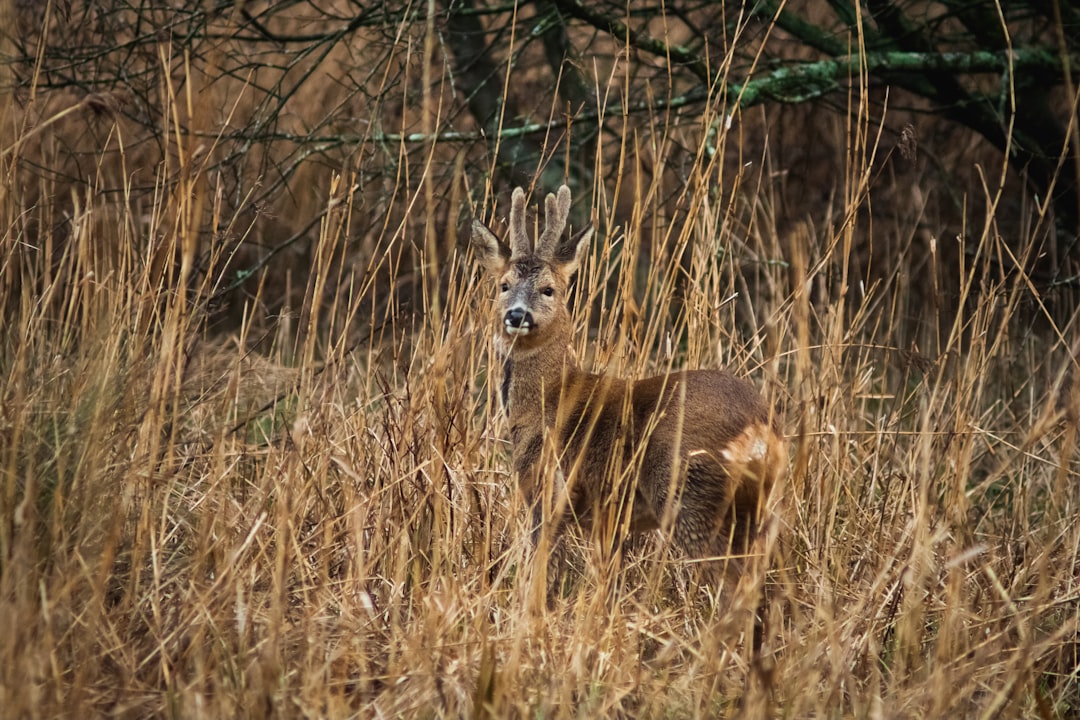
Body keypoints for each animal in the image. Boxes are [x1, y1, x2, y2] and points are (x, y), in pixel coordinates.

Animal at [473, 183, 786, 587]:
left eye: (548, 289)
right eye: (504, 285)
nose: (516, 315)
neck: (548, 399)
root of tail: (763, 427)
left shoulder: (547, 492)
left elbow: (547, 570)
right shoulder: (609, 521)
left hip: (689, 492)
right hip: (752, 511)